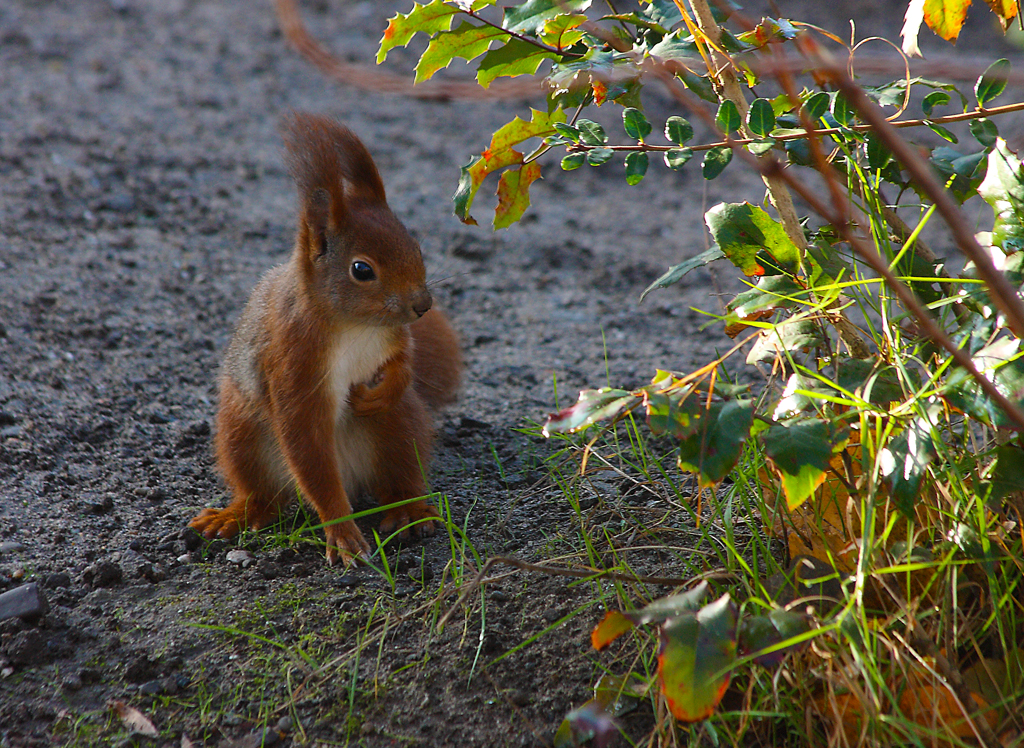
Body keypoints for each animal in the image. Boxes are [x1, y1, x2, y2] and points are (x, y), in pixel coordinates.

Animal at [190, 113, 462, 561]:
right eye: (361, 269)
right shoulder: (294, 361)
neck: (354, 325)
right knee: (267, 494)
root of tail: (352, 475)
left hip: (399, 428)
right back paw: (240, 513)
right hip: (240, 433)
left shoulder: (393, 336)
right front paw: (343, 533)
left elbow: (404, 361)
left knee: (398, 477)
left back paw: (410, 512)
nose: (422, 305)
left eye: (415, 246)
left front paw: (384, 388)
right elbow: (308, 451)